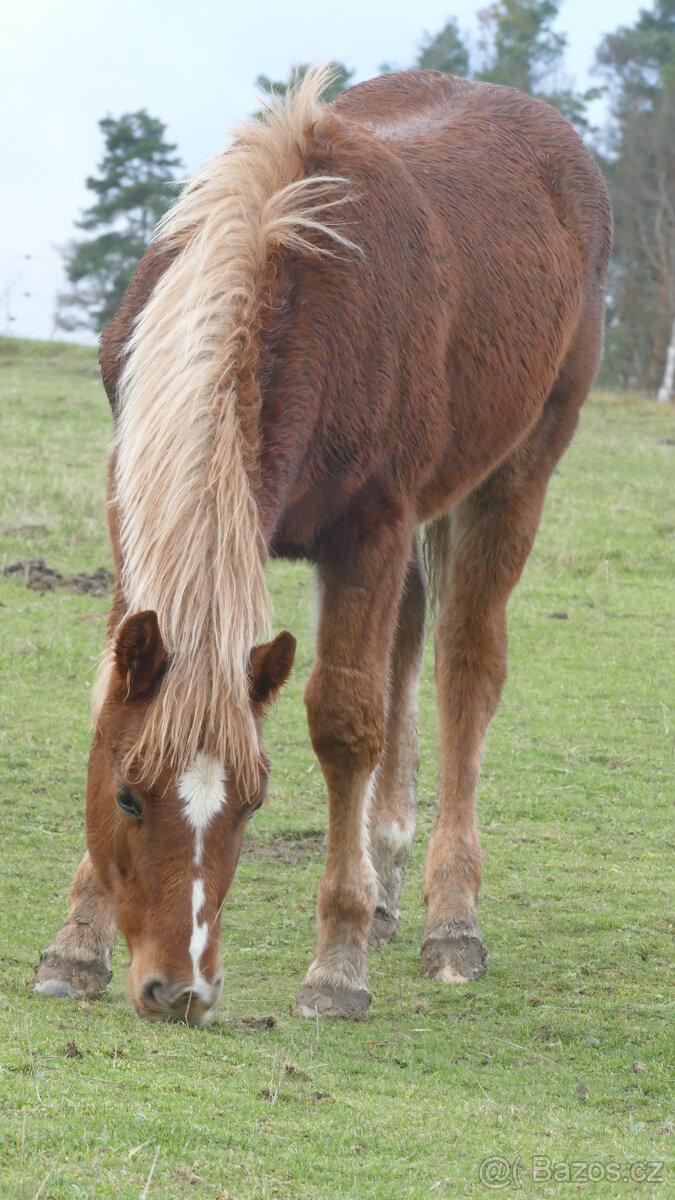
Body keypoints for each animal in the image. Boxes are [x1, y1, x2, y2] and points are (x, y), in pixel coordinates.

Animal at [34, 67, 611, 1024]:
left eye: (254, 804)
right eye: (127, 794)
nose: (178, 990)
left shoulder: (368, 530)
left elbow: (345, 723)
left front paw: (336, 966)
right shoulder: (133, 501)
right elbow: (112, 695)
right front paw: (74, 945)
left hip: (518, 469)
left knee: (463, 669)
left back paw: (448, 919)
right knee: (409, 642)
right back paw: (386, 880)